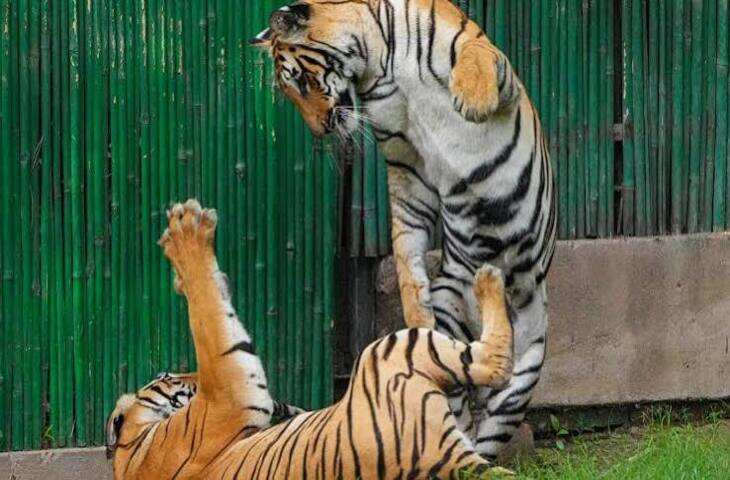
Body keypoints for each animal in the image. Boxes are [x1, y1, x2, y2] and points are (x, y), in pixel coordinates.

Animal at [106, 199, 515, 479]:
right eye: (168, 378)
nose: (188, 375)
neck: (135, 452)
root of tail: (444, 462)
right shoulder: (228, 392)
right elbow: (208, 315)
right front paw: (186, 239)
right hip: (391, 350)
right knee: (492, 362)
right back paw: (487, 278)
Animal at [251, 0, 556, 458]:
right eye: (292, 88)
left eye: (300, 79)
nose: (321, 130)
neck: (380, 63)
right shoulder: (406, 160)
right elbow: (406, 251)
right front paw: (415, 309)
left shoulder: (485, 56)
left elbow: (475, 60)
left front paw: (470, 101)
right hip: (450, 312)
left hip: (528, 359)